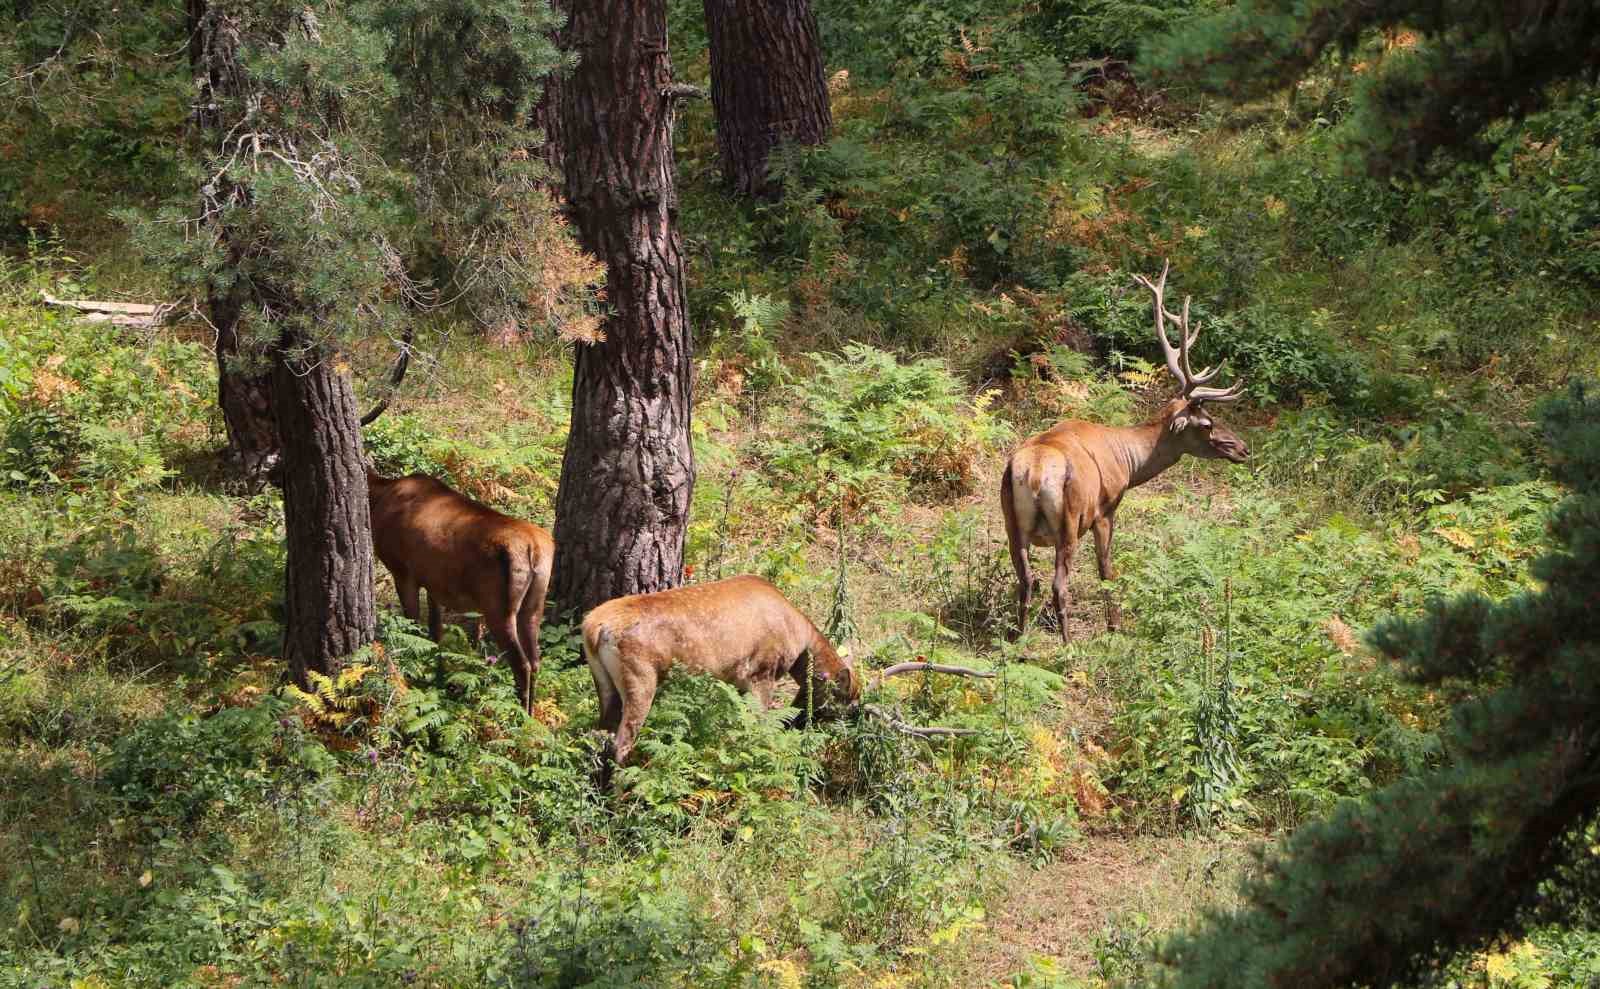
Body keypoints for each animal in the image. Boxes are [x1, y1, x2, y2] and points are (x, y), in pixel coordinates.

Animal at [368, 470, 556, 707]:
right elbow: (435, 633)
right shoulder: (433, 583)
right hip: (534, 604)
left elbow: (413, 627)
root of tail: (535, 548)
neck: (378, 497)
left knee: (522, 664)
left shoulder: (402, 571)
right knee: (536, 659)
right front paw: (438, 677)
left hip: (498, 606)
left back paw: (521, 713)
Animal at [582, 572, 864, 764]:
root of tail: (594, 628)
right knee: (621, 743)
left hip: (603, 681)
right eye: (842, 705)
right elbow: (759, 722)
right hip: (640, 677)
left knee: (598, 735)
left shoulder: (738, 682)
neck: (799, 641)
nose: (796, 724)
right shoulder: (761, 672)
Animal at [998, 257, 1248, 640]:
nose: (1243, 448)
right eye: (1206, 423)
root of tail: (1036, 473)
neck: (1127, 462)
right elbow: (1106, 570)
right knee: (1058, 584)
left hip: (1011, 520)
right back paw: (1069, 645)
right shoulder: (1105, 508)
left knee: (1026, 580)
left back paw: (1019, 638)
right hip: (1068, 521)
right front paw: (1115, 625)